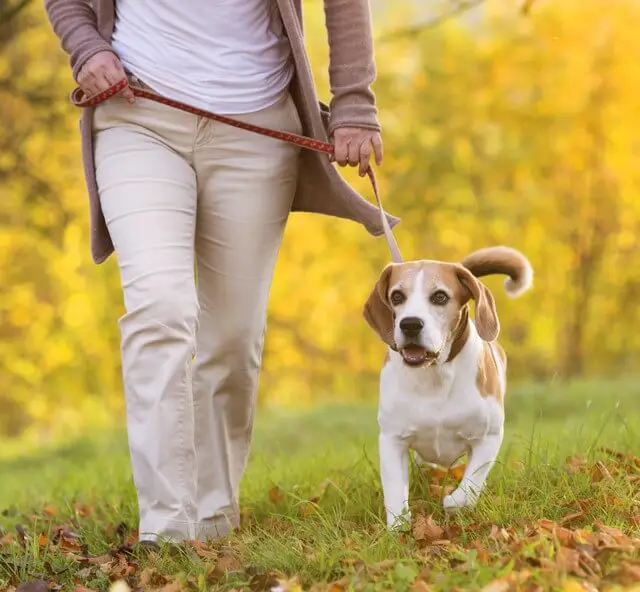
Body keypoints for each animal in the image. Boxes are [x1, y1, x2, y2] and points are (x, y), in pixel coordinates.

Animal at [362, 245, 532, 528]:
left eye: (440, 297)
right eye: (397, 296)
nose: (410, 324)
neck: (434, 375)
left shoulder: (488, 436)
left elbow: (471, 483)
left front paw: (454, 502)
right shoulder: (392, 439)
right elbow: (395, 490)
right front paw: (398, 527)